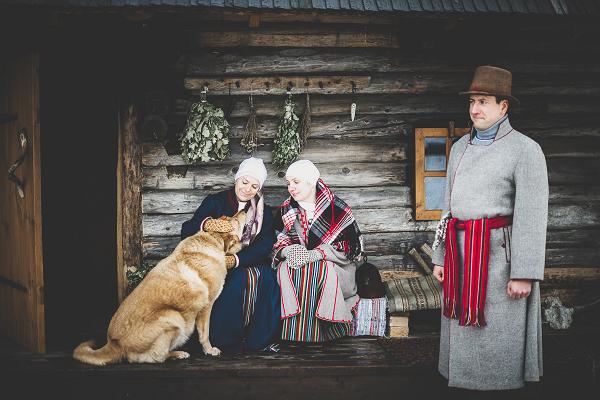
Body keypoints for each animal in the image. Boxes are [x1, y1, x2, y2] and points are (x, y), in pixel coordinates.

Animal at [73, 212, 246, 366]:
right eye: (235, 220)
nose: (244, 210)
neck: (212, 241)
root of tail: (113, 343)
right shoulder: (207, 306)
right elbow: (205, 334)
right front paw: (209, 350)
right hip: (174, 317)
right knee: (155, 357)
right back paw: (177, 354)